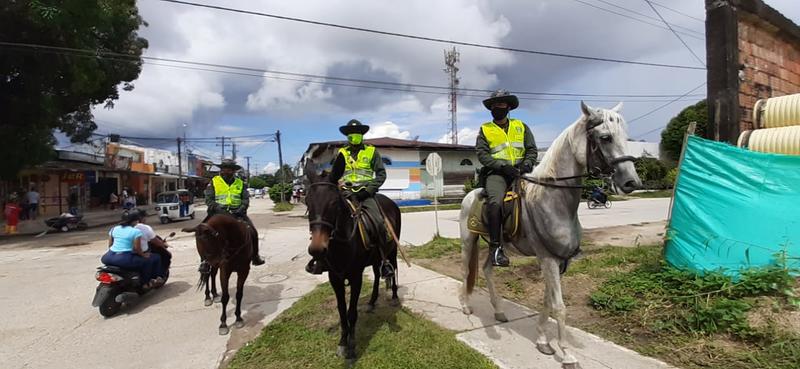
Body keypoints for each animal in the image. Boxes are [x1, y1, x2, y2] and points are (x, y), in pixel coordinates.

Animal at [304, 165, 400, 360]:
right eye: (307, 203)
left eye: (334, 203)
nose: (316, 250)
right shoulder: (335, 278)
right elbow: (342, 312)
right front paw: (342, 342)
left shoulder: (356, 277)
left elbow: (352, 313)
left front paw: (352, 345)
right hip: (376, 258)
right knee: (377, 274)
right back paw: (372, 301)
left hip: (392, 250)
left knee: (394, 269)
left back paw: (394, 296)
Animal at [460, 101, 640, 368]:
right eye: (605, 138)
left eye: (625, 137)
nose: (631, 182)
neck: (554, 200)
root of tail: (470, 195)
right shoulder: (547, 259)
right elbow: (559, 307)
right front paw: (567, 354)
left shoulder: (559, 261)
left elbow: (547, 301)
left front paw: (543, 341)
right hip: (467, 241)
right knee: (465, 271)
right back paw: (465, 307)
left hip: (494, 246)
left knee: (487, 268)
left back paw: (499, 311)